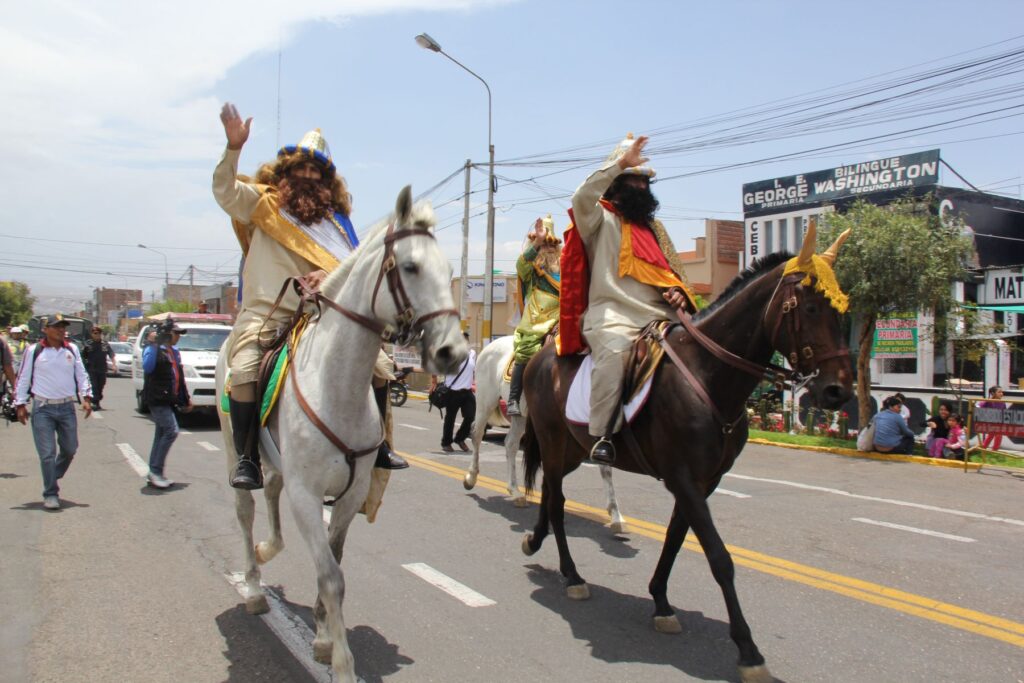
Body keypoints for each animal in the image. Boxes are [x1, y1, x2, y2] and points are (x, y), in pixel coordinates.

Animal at [220, 187, 468, 683]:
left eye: (450, 271)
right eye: (410, 266)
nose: (454, 352)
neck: (337, 385)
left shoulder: (351, 495)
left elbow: (333, 566)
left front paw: (320, 637)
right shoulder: (307, 495)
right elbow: (331, 576)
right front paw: (342, 662)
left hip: (279, 465)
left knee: (270, 496)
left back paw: (268, 549)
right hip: (232, 446)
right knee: (245, 509)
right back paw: (253, 587)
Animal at [462, 335, 622, 532]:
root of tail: (490, 346)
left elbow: (604, 466)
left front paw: (616, 516)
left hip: (520, 415)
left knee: (511, 444)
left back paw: (516, 492)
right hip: (486, 400)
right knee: (477, 434)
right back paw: (471, 478)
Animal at [524, 225, 851, 683]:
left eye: (841, 308)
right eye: (810, 306)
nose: (838, 391)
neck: (707, 375)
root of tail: (540, 357)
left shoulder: (703, 482)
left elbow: (676, 539)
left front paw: (661, 602)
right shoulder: (683, 478)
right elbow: (719, 557)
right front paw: (748, 649)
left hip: (572, 449)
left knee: (551, 496)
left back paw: (535, 542)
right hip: (553, 442)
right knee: (555, 502)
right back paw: (572, 576)